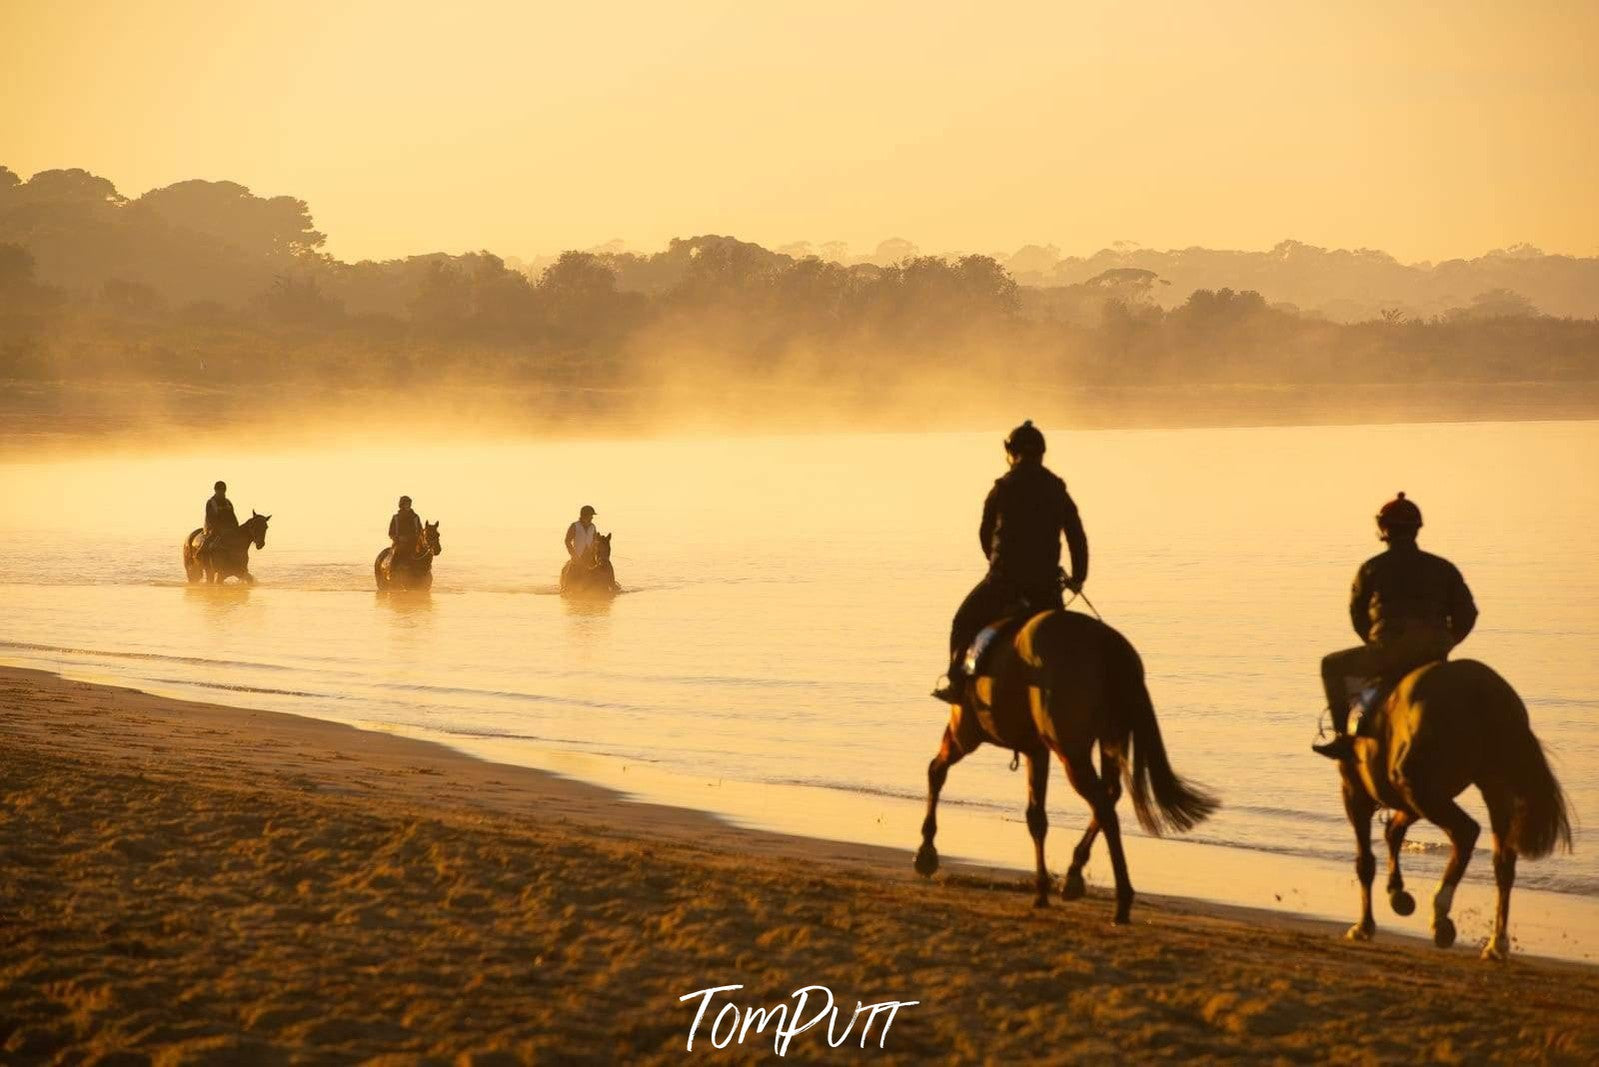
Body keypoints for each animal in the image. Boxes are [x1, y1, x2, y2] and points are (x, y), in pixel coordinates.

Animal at [921, 607, 1215, 927]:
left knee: (1103, 805)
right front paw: (1041, 891)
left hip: (1069, 752)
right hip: (1108, 741)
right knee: (1109, 795)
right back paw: (1076, 876)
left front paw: (926, 850)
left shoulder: (964, 732)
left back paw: (1121, 900)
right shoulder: (1036, 751)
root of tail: (1105, 644)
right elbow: (1036, 818)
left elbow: (936, 771)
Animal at [1330, 659, 1567, 959]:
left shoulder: (1356, 794)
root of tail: (1486, 691)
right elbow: (1393, 832)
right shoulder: (1412, 802)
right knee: (1503, 862)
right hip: (1491, 789)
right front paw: (1398, 894)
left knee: (1466, 832)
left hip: (1421, 789)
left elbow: (1366, 862)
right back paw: (1496, 943)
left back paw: (1441, 915)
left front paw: (1364, 927)